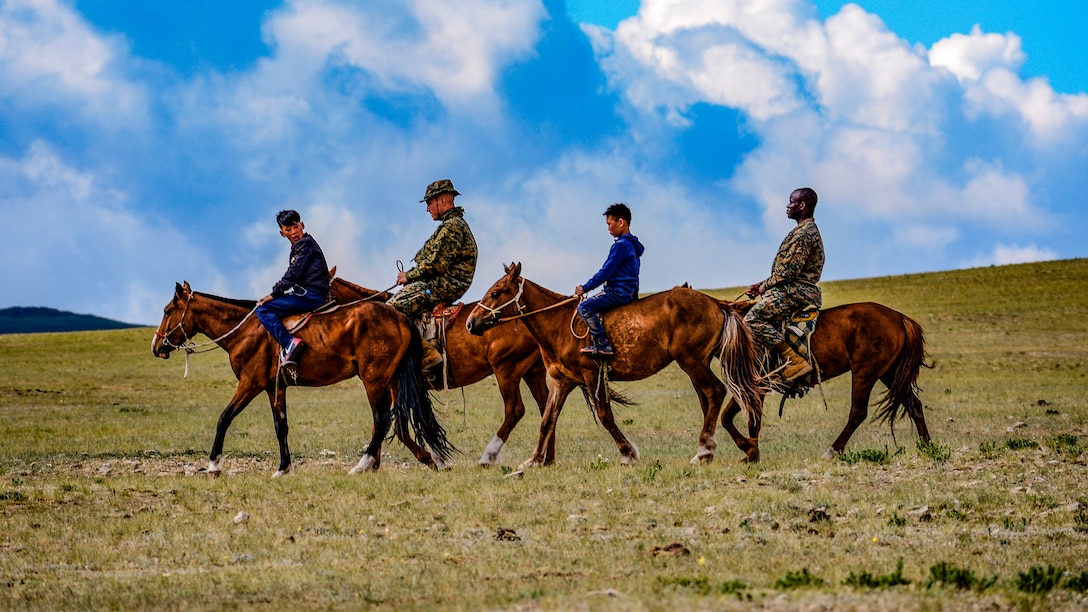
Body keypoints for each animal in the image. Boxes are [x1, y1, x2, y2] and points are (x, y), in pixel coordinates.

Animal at [151, 280, 452, 476]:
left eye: (167, 311)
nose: (156, 347)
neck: (246, 331)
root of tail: (400, 316)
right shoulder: (275, 388)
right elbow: (280, 426)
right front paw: (284, 468)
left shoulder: (249, 384)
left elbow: (224, 418)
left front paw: (214, 464)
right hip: (392, 379)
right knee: (399, 420)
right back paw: (428, 458)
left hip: (374, 379)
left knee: (382, 420)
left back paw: (363, 465)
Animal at [328, 274, 552, 463]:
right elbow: (383, 425)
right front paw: (373, 463)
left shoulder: (393, 385)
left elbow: (395, 426)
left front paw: (430, 459)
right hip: (533, 371)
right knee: (546, 407)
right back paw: (546, 460)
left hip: (506, 369)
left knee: (515, 409)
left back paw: (489, 457)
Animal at [463, 262, 761, 466]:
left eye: (496, 292)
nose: (470, 323)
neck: (558, 325)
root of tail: (713, 302)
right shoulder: (562, 381)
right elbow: (547, 419)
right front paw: (534, 460)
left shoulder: (592, 374)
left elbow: (605, 416)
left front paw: (628, 454)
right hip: (698, 363)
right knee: (711, 398)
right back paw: (738, 448)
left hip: (692, 361)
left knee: (715, 392)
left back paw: (705, 451)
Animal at [722, 298, 935, 459]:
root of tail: (901, 318)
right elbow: (730, 418)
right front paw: (751, 452)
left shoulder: (757, 385)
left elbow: (748, 421)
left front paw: (751, 453)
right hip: (890, 374)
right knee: (914, 405)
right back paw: (927, 447)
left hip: (865, 372)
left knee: (858, 412)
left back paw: (831, 452)